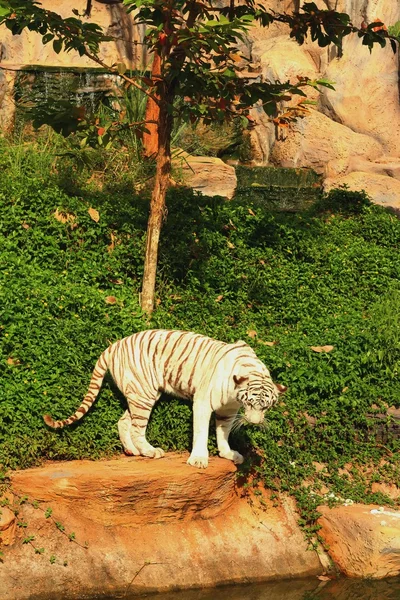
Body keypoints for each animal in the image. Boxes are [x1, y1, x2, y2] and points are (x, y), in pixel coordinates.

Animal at [43, 330, 286, 466]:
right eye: (251, 402)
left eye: (266, 407)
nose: (254, 422)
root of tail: (113, 346)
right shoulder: (203, 402)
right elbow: (201, 432)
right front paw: (199, 460)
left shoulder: (229, 411)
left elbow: (222, 432)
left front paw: (228, 454)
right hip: (144, 393)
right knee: (136, 428)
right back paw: (149, 451)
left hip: (137, 394)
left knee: (123, 421)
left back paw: (132, 450)